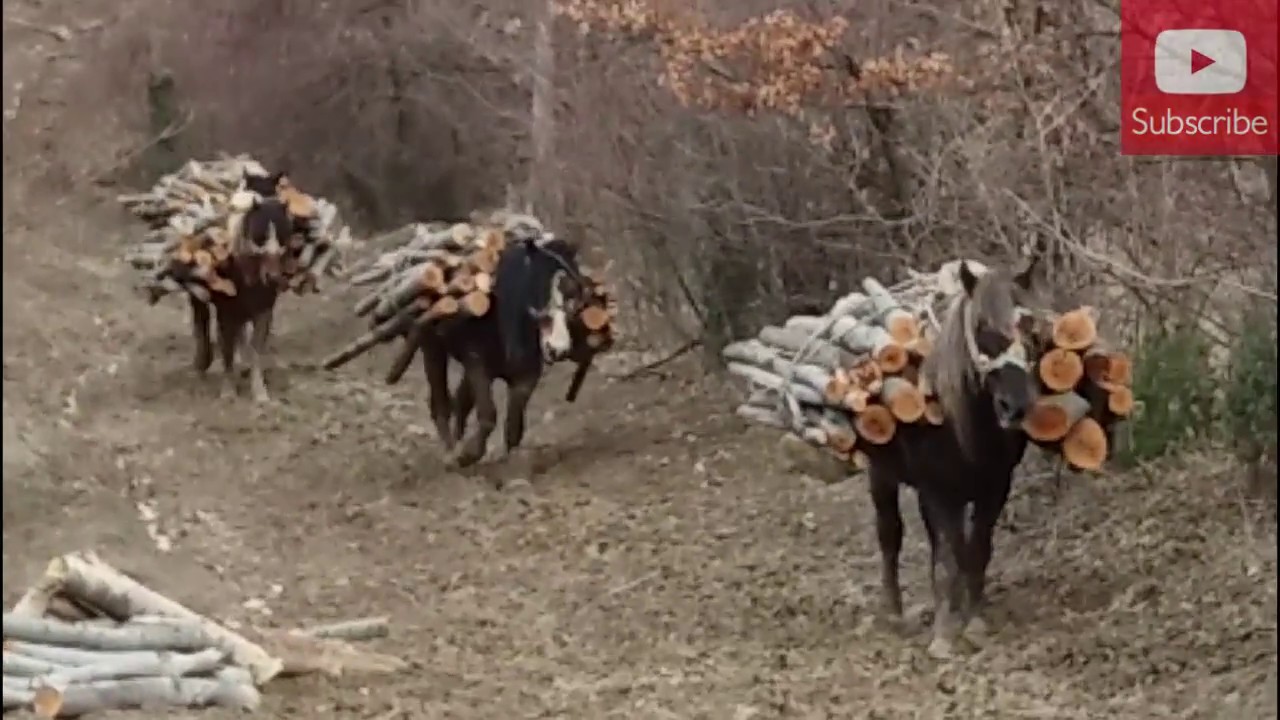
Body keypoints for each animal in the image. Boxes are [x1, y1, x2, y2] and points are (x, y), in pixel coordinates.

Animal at [191, 169, 292, 403]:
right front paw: (228, 392)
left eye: (283, 234)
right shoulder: (226, 312)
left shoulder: (263, 311)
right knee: (201, 326)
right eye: (260, 234)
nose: (274, 278)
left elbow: (256, 349)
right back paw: (201, 365)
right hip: (199, 298)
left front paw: (260, 392)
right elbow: (226, 349)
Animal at [418, 223, 606, 474]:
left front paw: (512, 464)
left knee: (460, 401)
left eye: (574, 293)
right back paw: (450, 453)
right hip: (432, 348)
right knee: (440, 402)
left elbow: (513, 425)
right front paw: (467, 455)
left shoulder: (525, 376)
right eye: (537, 285)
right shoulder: (478, 364)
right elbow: (488, 414)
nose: (558, 349)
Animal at [862, 258, 1040, 660]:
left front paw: (973, 620)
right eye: (981, 325)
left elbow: (975, 551)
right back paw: (893, 610)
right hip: (881, 476)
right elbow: (945, 560)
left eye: (1030, 325)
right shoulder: (936, 493)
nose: (1015, 407)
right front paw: (943, 635)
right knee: (889, 535)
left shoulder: (994, 490)